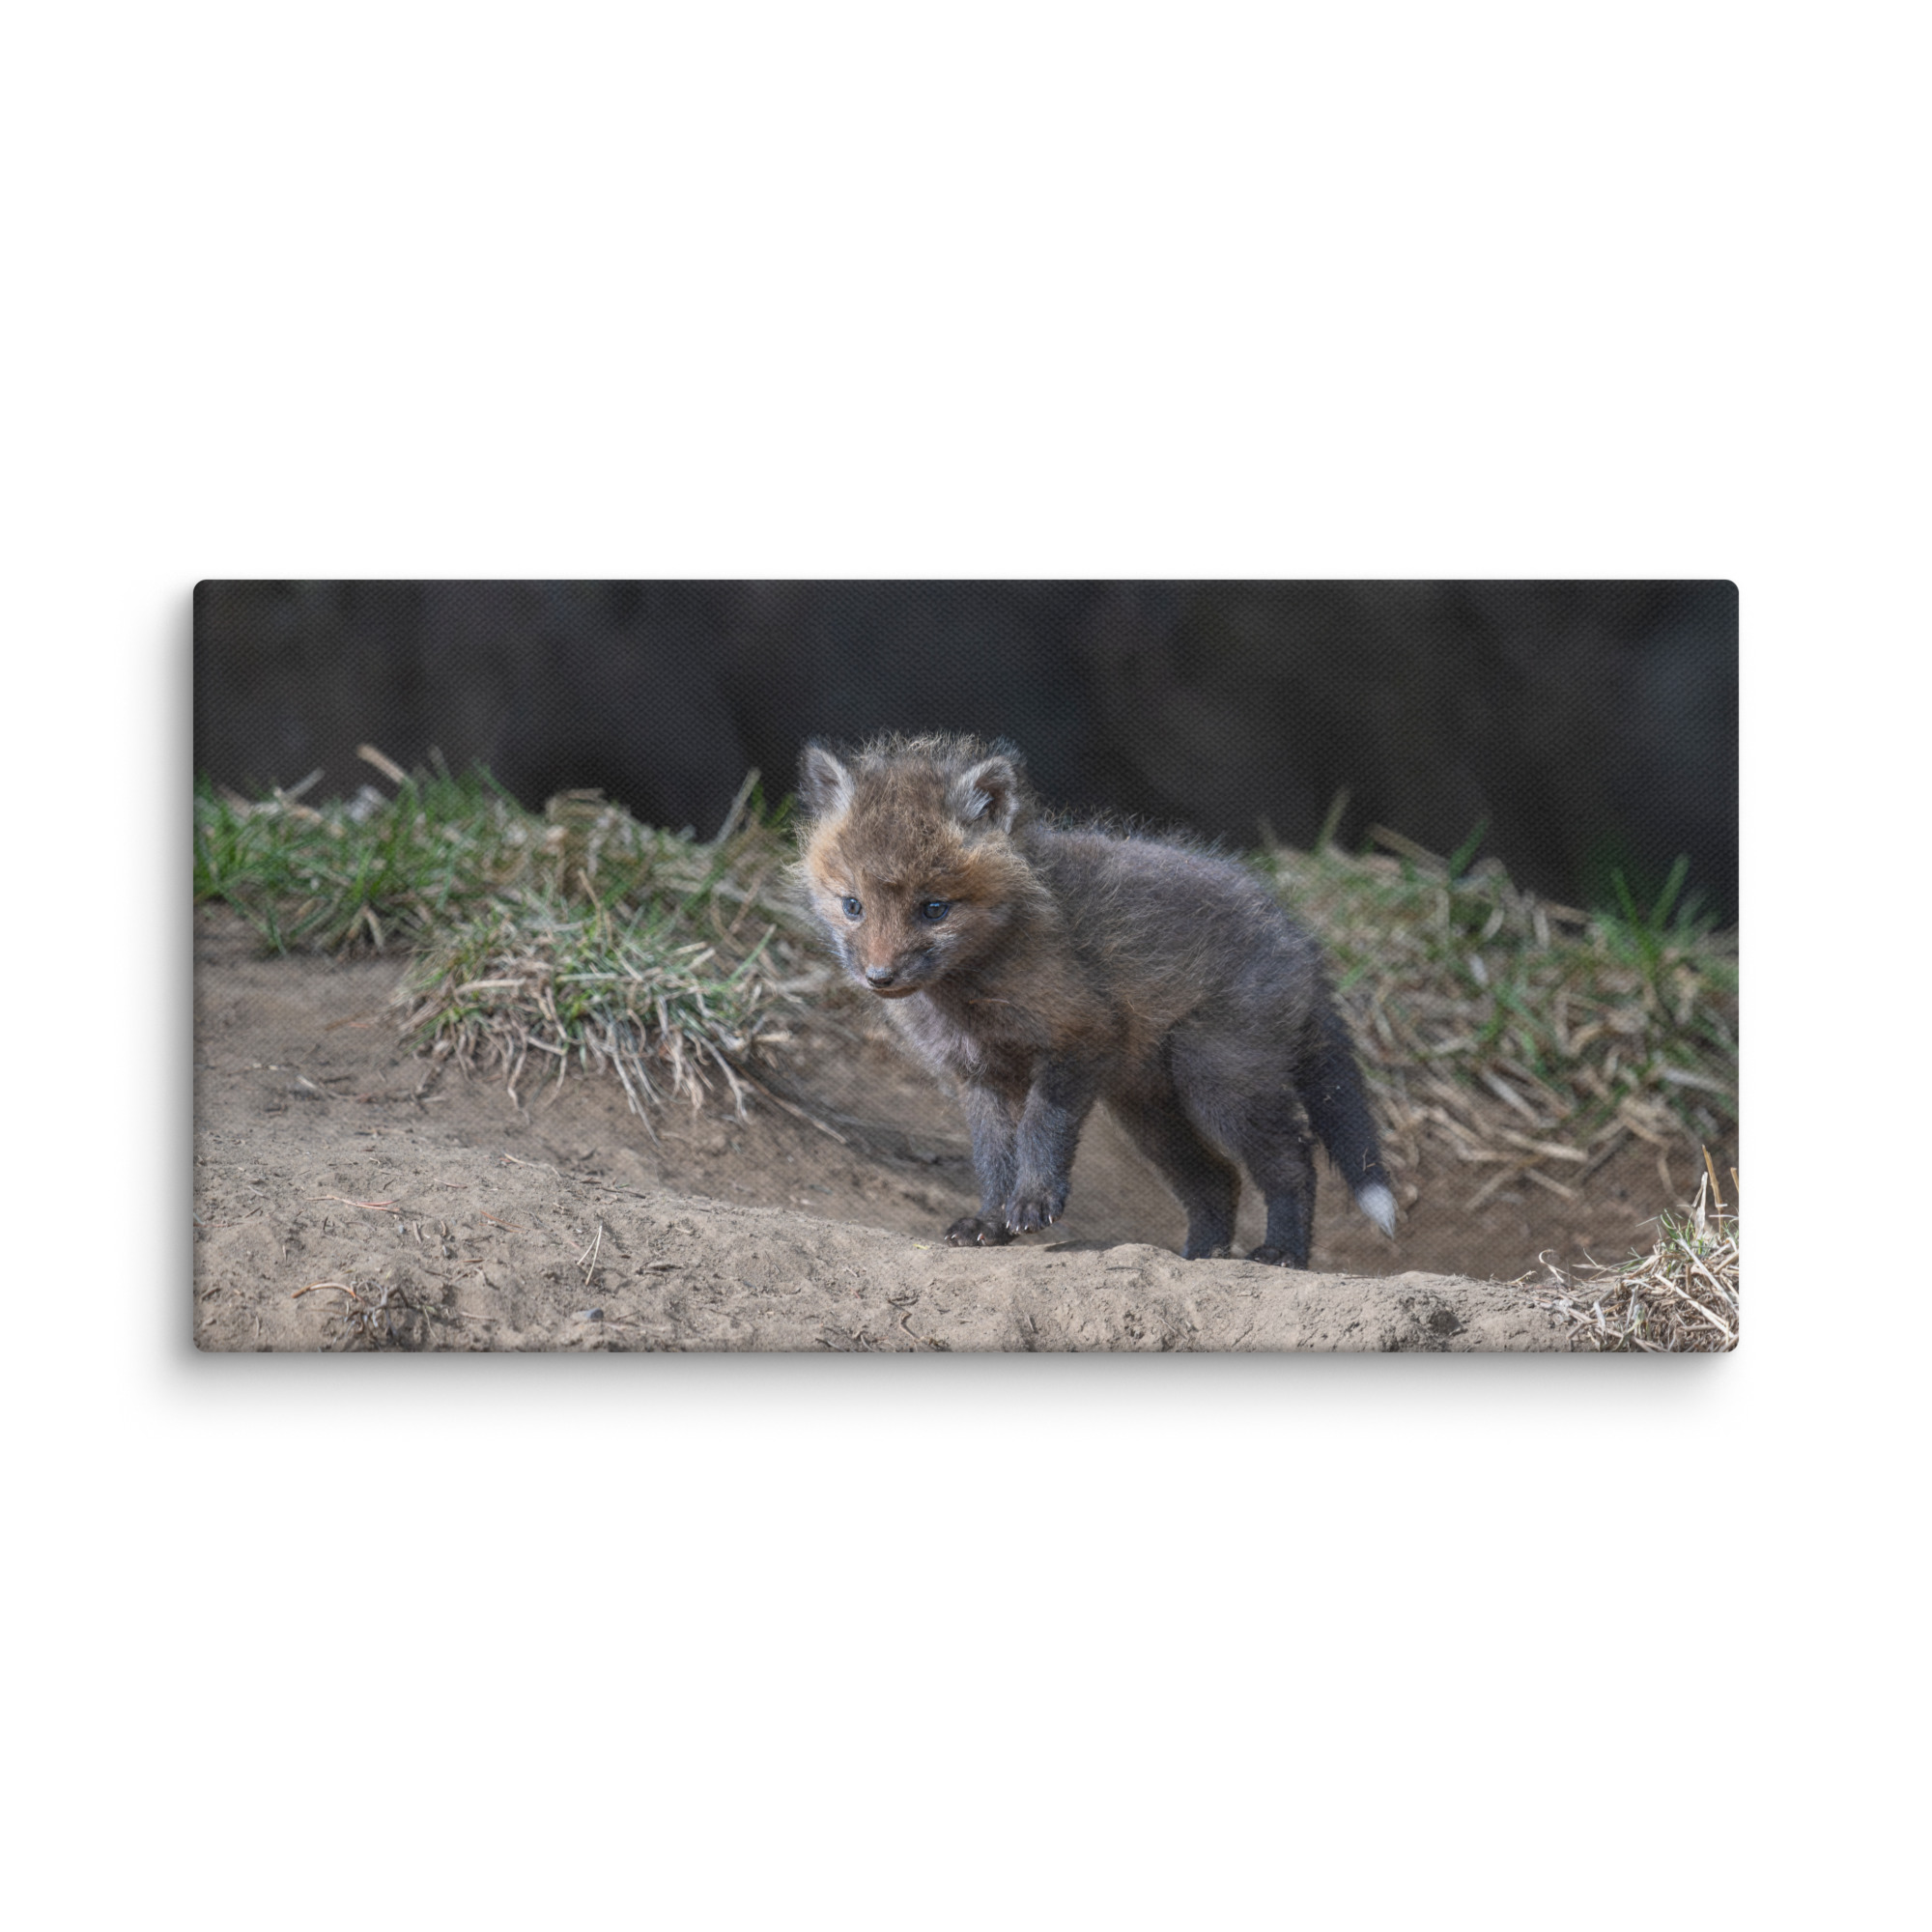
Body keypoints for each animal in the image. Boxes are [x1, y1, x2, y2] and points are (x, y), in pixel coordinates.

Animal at [796, 732, 1397, 1266]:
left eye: (934, 909)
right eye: (852, 905)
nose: (879, 977)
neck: (969, 996)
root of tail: (1298, 936)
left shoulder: (1080, 1036)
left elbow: (1041, 1129)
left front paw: (1034, 1202)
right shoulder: (978, 1075)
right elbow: (993, 1158)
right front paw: (990, 1222)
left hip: (1219, 1081)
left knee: (1293, 1161)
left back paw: (1282, 1253)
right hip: (1150, 1112)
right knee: (1218, 1180)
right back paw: (1200, 1257)